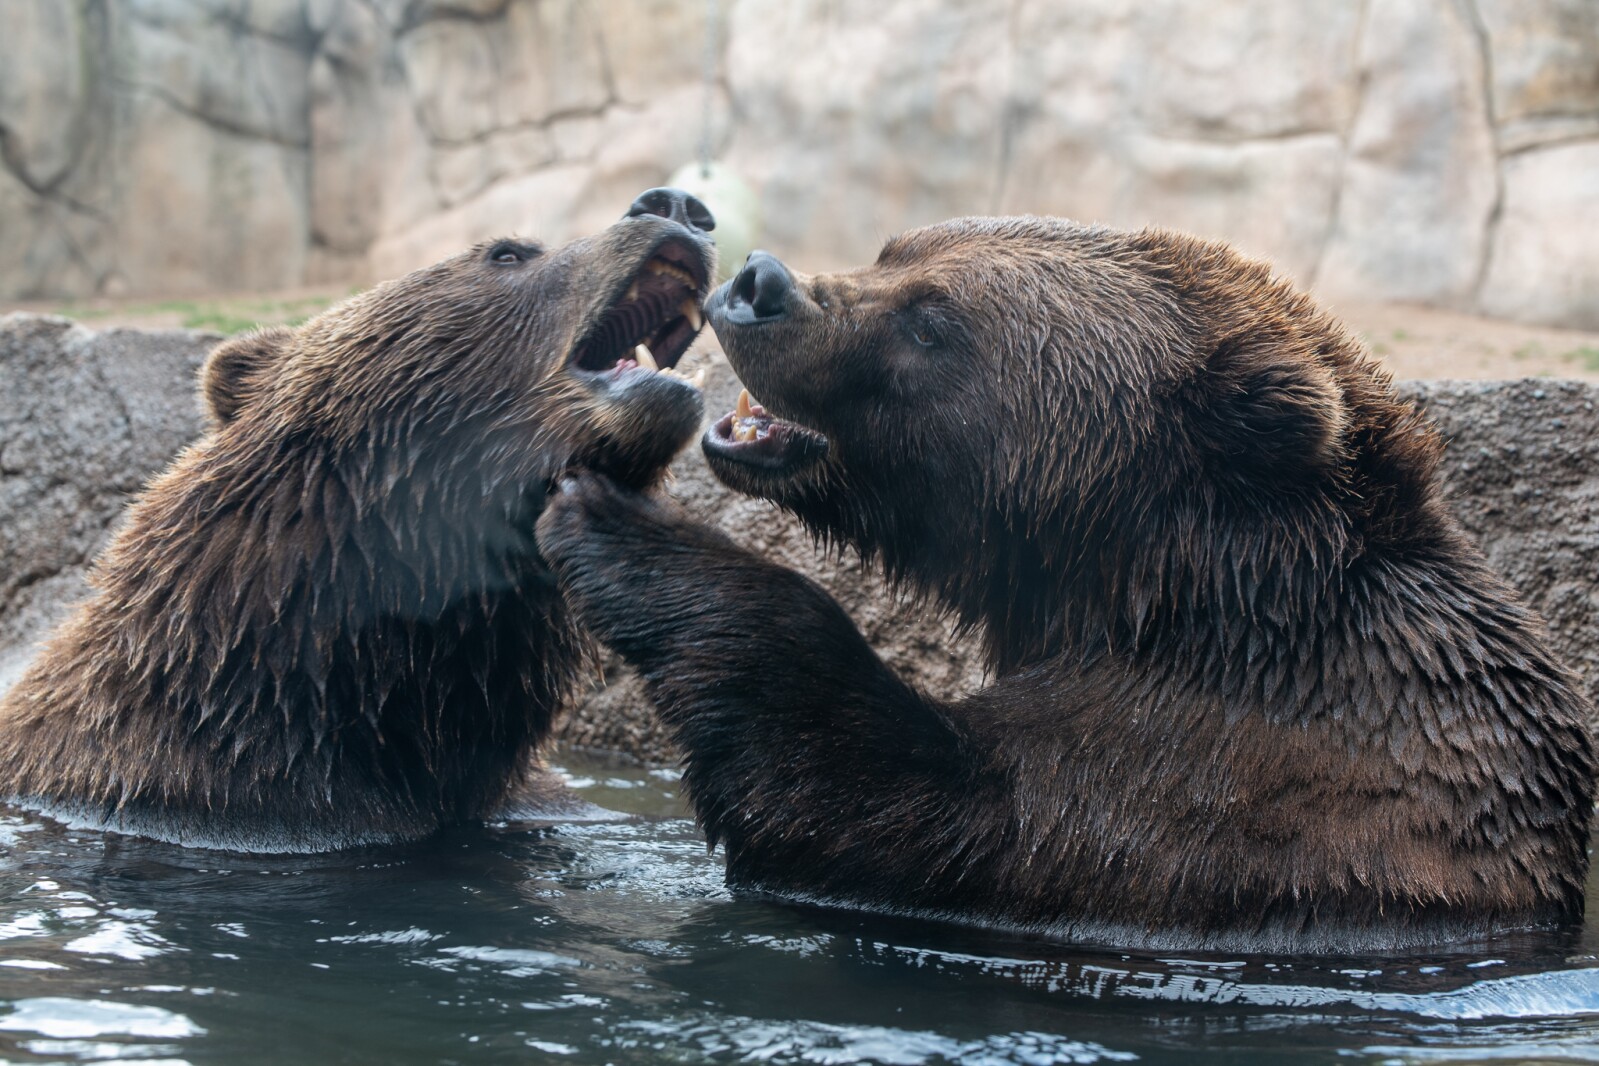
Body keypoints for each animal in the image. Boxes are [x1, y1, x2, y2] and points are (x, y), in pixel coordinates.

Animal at [536, 216, 1597, 952]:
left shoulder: (1211, 783)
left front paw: (615, 526)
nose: (761, 282)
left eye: (934, 322)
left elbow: (879, 802)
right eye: (895, 248)